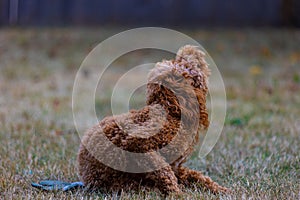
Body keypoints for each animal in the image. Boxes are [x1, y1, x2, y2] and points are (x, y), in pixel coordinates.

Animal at [77, 45, 230, 194]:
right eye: (188, 67)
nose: (192, 50)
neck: (170, 113)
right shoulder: (140, 146)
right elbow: (164, 173)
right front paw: (178, 193)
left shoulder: (175, 165)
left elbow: (196, 176)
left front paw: (221, 190)